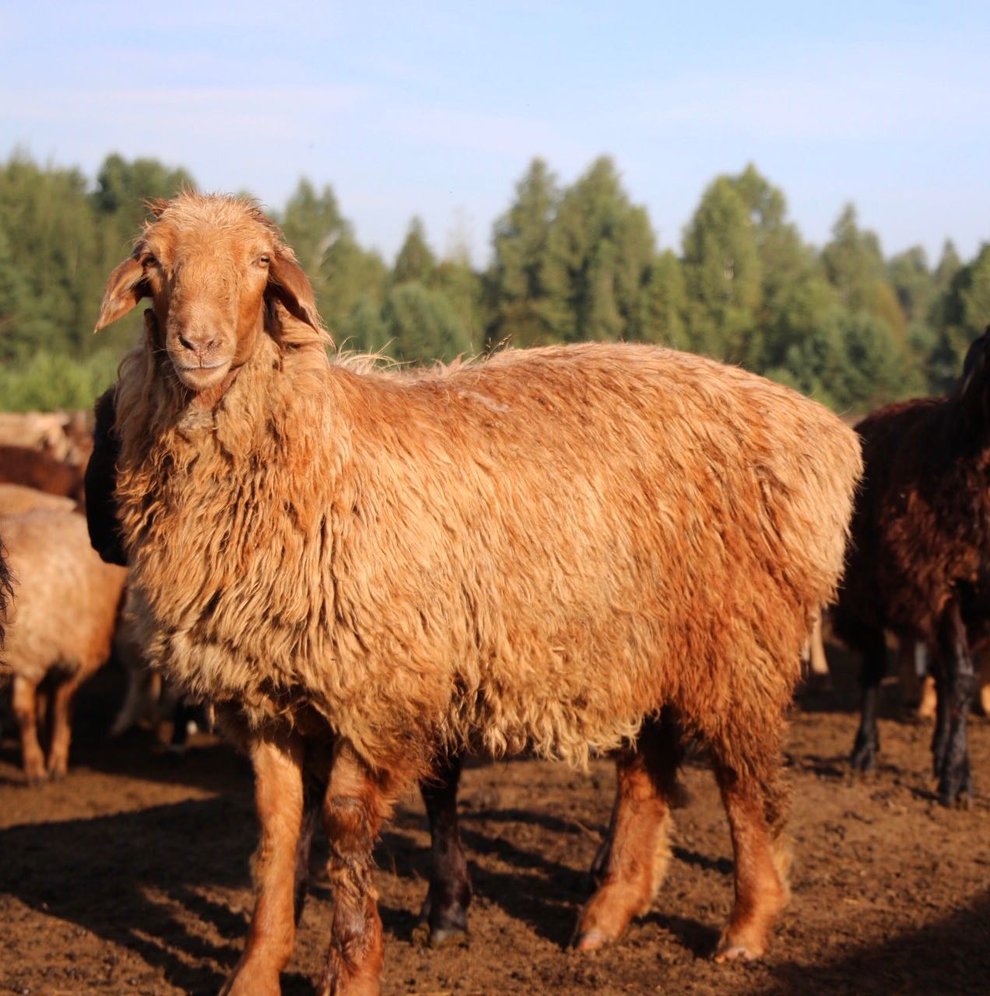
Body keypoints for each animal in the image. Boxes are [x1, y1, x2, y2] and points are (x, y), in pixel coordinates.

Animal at [0, 510, 128, 784]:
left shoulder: (29, 661)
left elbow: (23, 713)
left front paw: (35, 769)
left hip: (75, 649)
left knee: (62, 704)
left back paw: (56, 762)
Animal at [93, 195, 864, 996]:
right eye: (154, 264)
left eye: (259, 262)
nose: (198, 343)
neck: (317, 451)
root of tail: (826, 430)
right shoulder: (264, 694)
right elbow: (277, 835)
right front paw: (254, 970)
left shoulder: (378, 688)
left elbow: (344, 827)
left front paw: (354, 969)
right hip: (640, 643)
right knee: (646, 774)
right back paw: (608, 914)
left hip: (740, 640)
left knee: (745, 783)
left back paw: (746, 926)